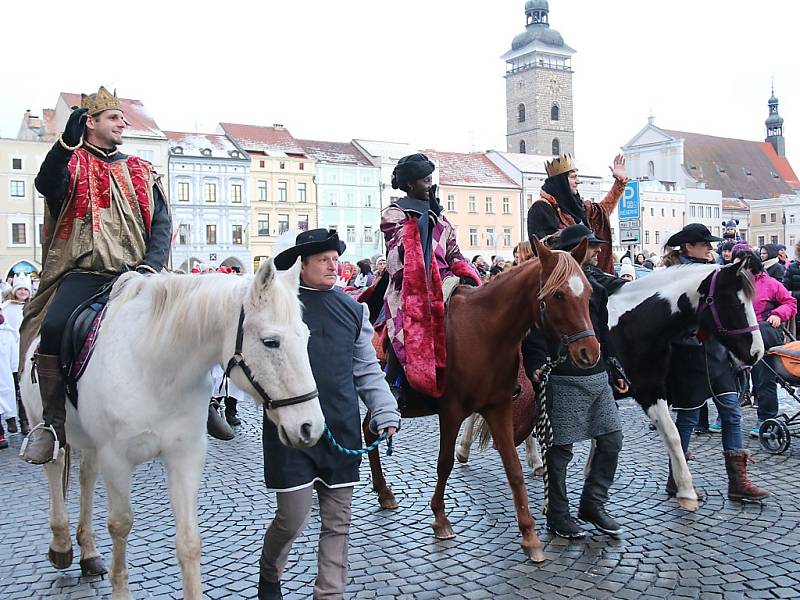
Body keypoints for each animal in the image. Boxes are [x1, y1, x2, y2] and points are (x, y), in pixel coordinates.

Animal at [20, 260, 324, 600]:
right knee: (55, 464)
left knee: (86, 475)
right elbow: (120, 525)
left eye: (306, 336)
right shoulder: (117, 459)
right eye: (271, 342)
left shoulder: (185, 456)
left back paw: (88, 551)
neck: (156, 369)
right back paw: (61, 545)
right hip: (44, 421)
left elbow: (189, 541)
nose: (310, 427)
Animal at [364, 236, 600, 564]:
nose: (590, 352)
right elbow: (445, 463)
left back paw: (383, 491)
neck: (484, 331)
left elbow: (513, 468)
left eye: (588, 292)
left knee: (367, 430)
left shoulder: (498, 408)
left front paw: (530, 535)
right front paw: (440, 518)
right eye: (559, 295)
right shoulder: (451, 411)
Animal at [456, 262, 764, 510]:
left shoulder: (648, 389)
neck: (631, 325)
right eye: (734, 303)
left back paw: (532, 460)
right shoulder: (636, 391)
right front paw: (686, 491)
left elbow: (668, 434)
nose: (757, 354)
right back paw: (466, 449)